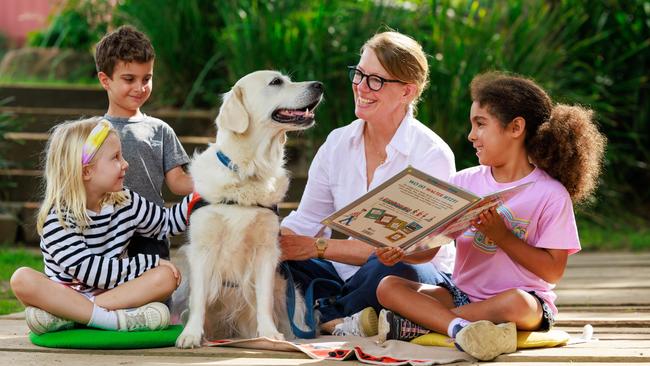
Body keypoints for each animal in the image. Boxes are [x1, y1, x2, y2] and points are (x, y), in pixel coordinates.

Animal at [175, 70, 322, 348]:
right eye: (276, 82)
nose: (319, 85)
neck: (248, 171)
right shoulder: (202, 248)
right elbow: (198, 299)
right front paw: (190, 334)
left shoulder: (266, 249)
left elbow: (264, 299)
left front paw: (269, 334)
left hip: (292, 296)